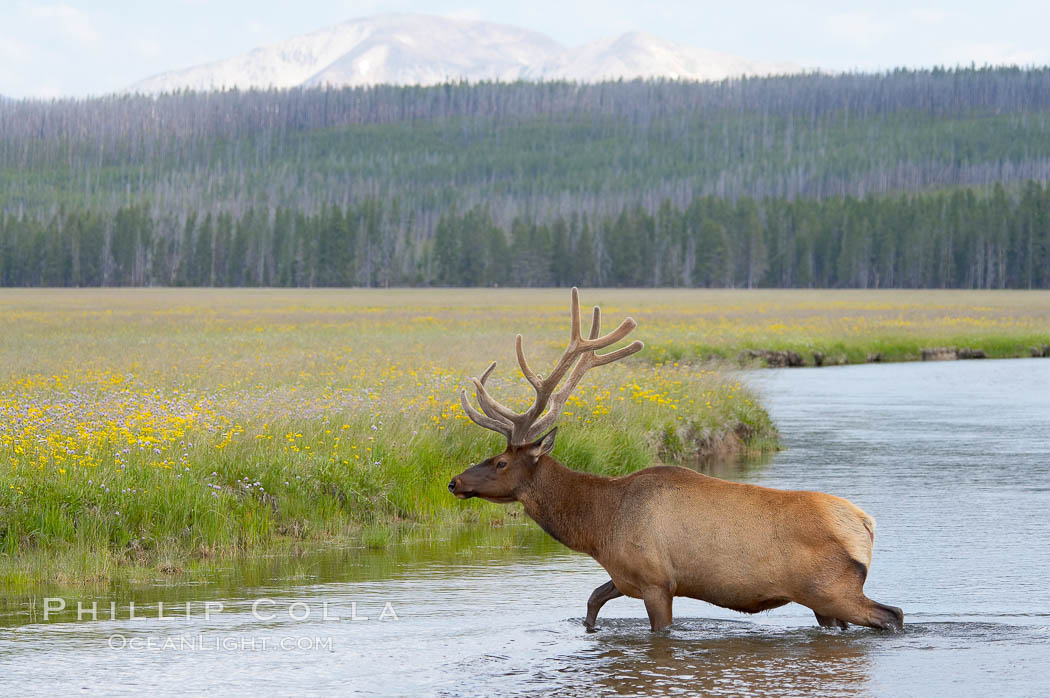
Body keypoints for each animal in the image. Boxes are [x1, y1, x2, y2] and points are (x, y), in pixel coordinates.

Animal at [449, 287, 902, 629]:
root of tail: (865, 524)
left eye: (500, 462)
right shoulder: (624, 576)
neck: (599, 525)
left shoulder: (656, 581)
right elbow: (592, 601)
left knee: (892, 615)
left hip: (832, 589)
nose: (454, 482)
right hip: (822, 601)